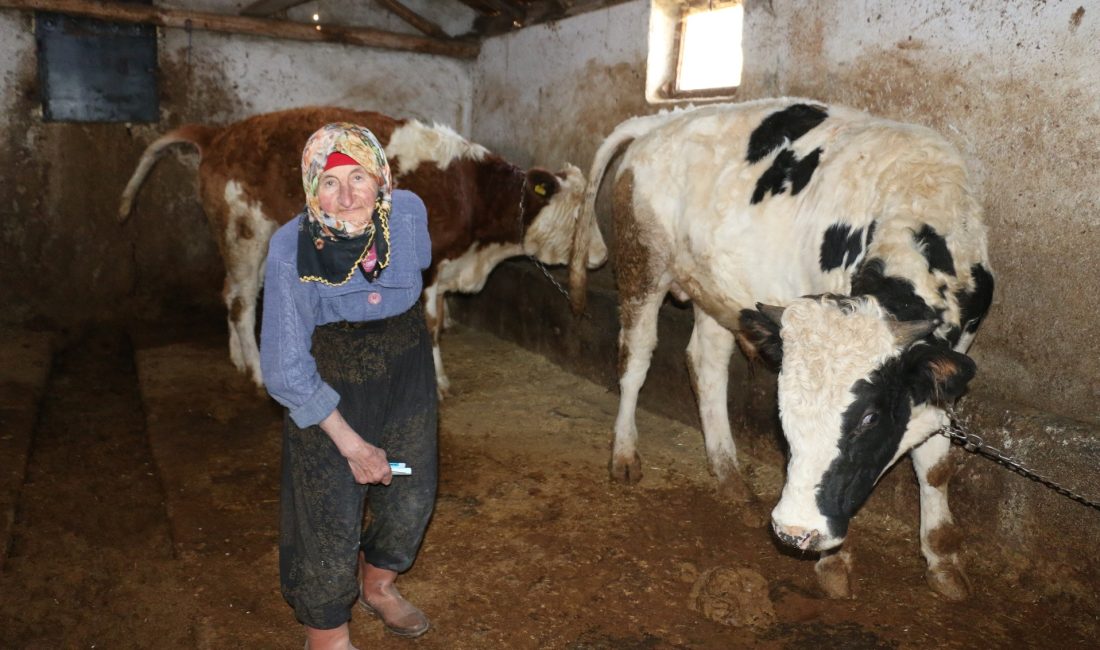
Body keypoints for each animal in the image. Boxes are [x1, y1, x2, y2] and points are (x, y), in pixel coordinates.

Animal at [120, 105, 611, 395]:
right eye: (579, 214)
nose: (604, 256)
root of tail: (221, 134)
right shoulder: (426, 270)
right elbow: (430, 326)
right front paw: (436, 383)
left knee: (229, 292)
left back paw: (239, 359)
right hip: (245, 232)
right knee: (242, 302)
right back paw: (258, 373)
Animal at [572, 98, 994, 602]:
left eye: (870, 417)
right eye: (783, 413)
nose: (795, 532)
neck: (920, 200)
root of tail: (661, 120)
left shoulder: (942, 364)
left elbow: (936, 467)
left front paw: (943, 559)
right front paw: (835, 563)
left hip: (717, 289)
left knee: (706, 363)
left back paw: (728, 472)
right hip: (643, 263)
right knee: (635, 359)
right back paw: (624, 454)